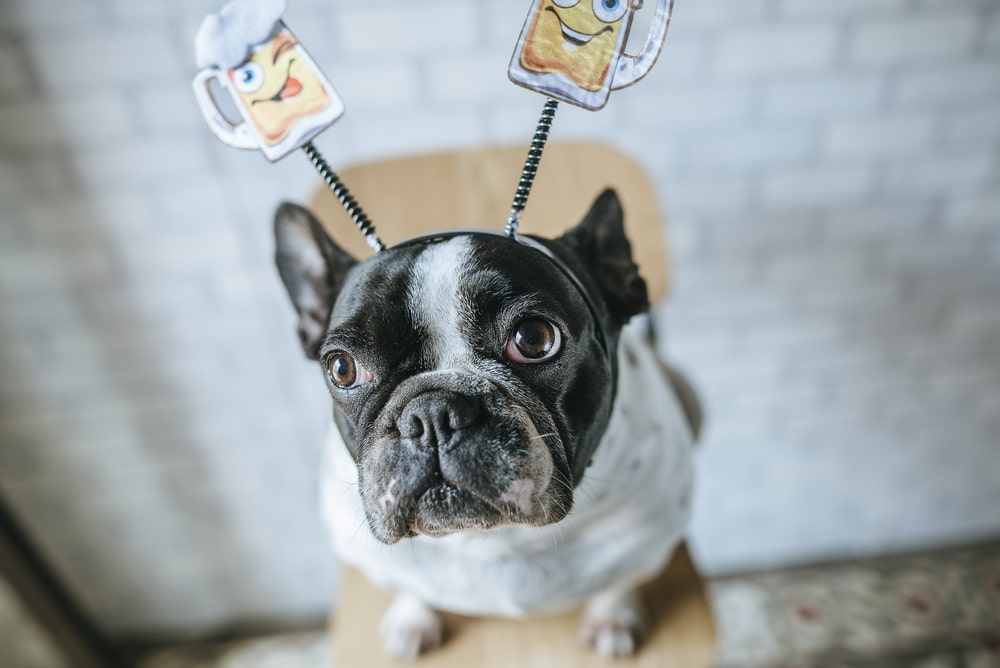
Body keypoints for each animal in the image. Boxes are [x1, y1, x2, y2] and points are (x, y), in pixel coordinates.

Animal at [274, 189, 696, 656]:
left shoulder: (647, 543)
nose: (433, 414)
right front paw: (413, 619)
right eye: (342, 368)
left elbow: (619, 580)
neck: (491, 539)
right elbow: (408, 584)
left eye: (535, 338)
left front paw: (613, 617)